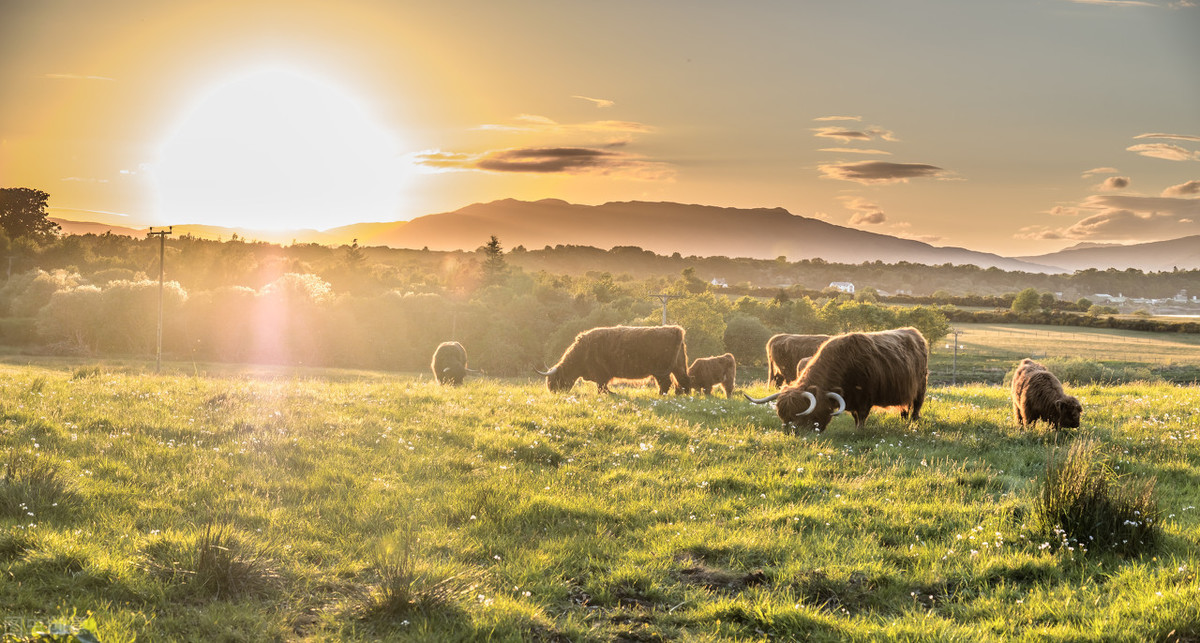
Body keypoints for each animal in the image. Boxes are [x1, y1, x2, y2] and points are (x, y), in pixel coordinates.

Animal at [537, 323, 691, 393]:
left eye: (554, 380)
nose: (553, 392)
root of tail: (675, 330)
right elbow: (602, 387)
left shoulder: (600, 373)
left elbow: (601, 387)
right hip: (678, 366)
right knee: (683, 380)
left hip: (660, 370)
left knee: (666, 383)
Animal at [744, 326, 931, 431]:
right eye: (784, 417)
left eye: (801, 415)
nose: (791, 432)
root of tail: (915, 333)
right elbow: (855, 416)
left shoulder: (865, 397)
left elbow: (862, 416)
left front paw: (859, 431)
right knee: (904, 407)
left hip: (920, 387)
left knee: (916, 407)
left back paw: (913, 423)